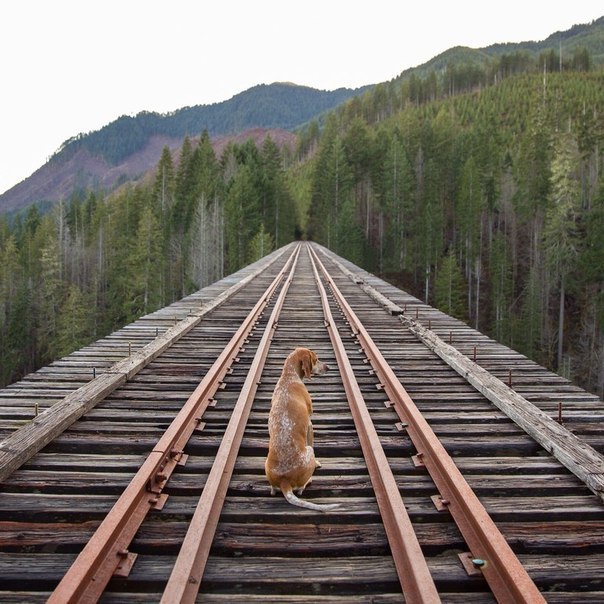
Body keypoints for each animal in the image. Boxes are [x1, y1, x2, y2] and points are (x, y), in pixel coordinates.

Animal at [266, 346, 340, 512]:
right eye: (316, 359)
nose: (328, 367)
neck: (289, 376)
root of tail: (284, 481)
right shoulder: (310, 424)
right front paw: (318, 463)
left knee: (272, 489)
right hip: (309, 452)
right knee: (300, 488)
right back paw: (309, 480)